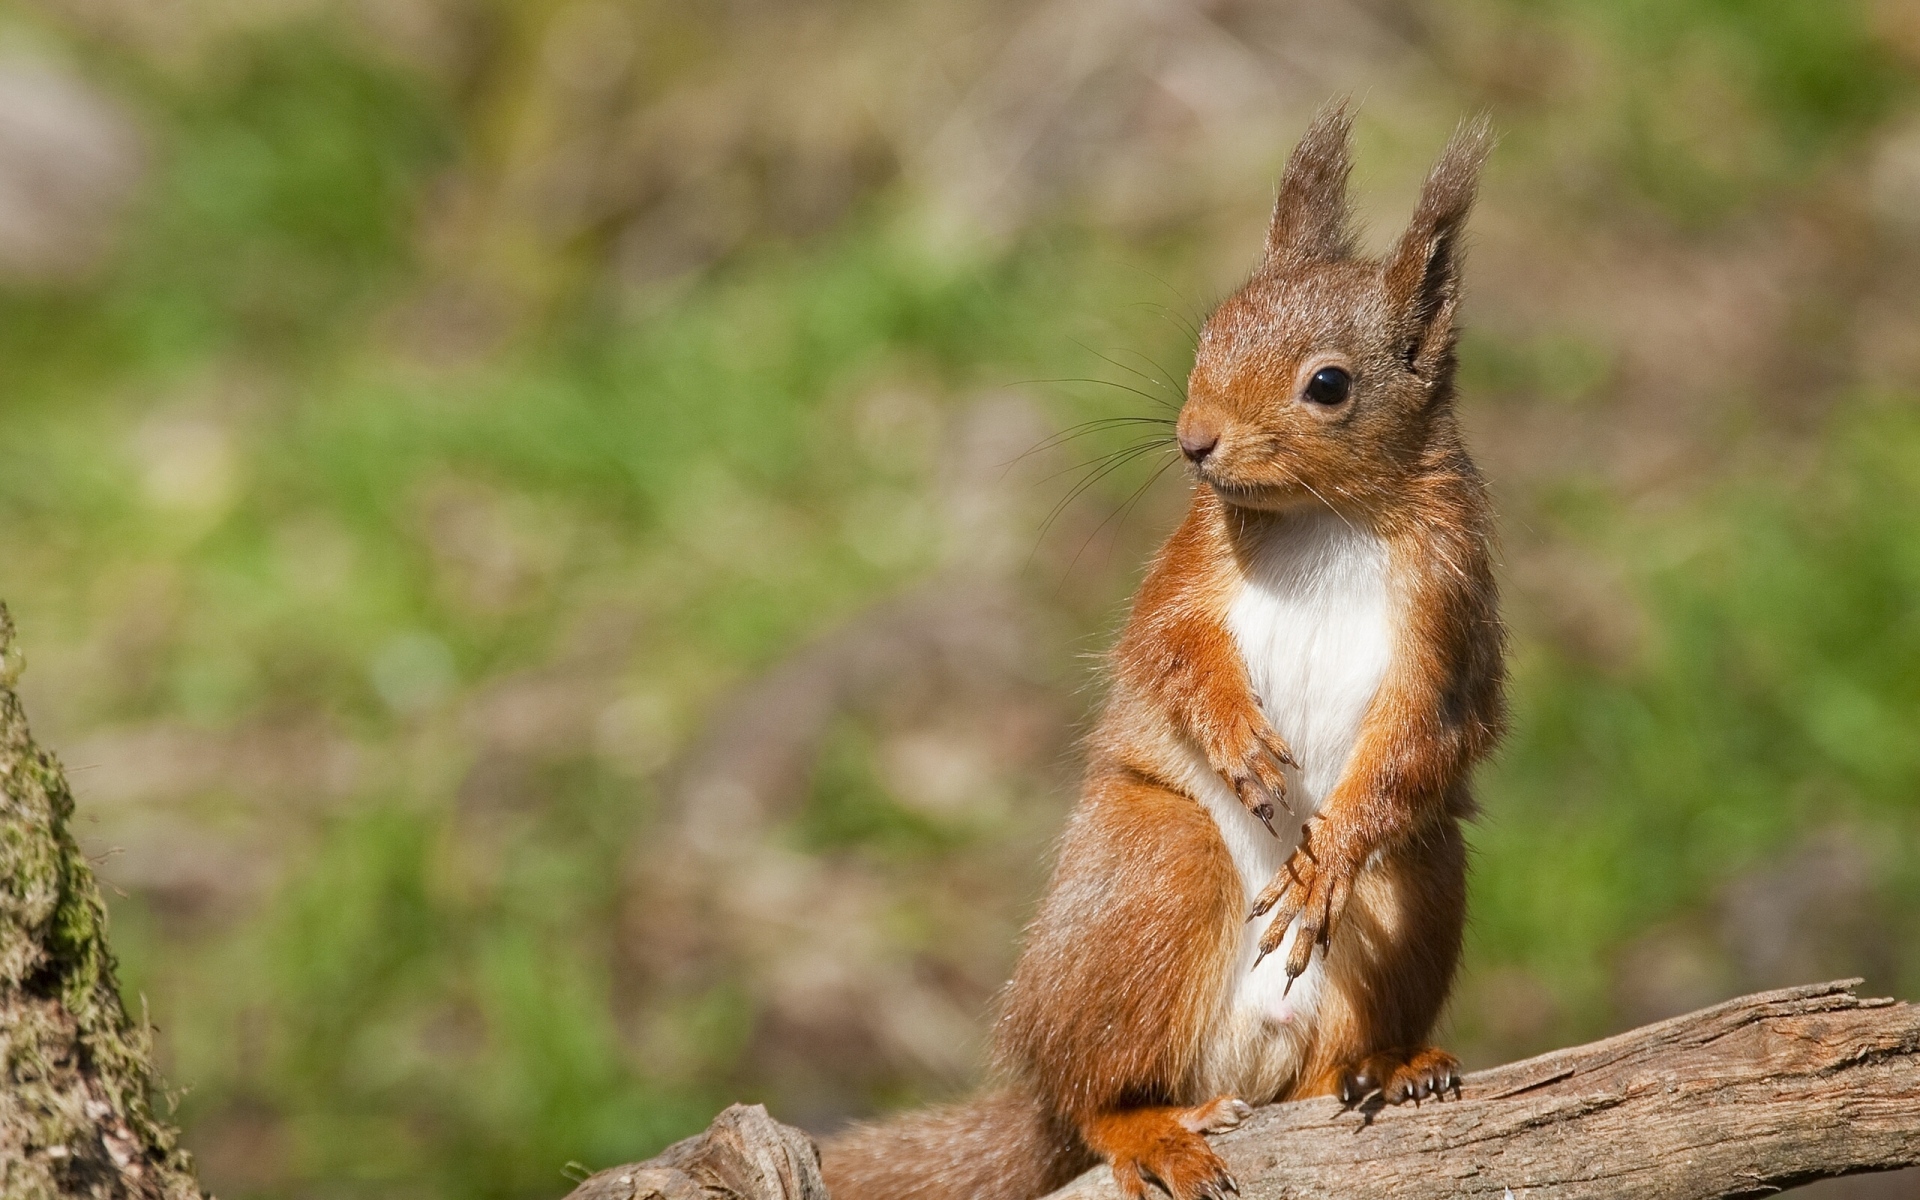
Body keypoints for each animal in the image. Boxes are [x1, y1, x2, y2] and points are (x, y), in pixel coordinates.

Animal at [821, 103, 1507, 1200]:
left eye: (1329, 385)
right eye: (1210, 333)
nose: (1194, 440)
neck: (1329, 518)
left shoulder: (1451, 614)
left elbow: (1432, 734)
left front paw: (1328, 856)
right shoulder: (1190, 564)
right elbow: (1170, 649)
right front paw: (1241, 744)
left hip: (1417, 883)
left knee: (1330, 1045)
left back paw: (1388, 1065)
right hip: (1156, 871)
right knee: (1093, 1099)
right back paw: (1149, 1127)